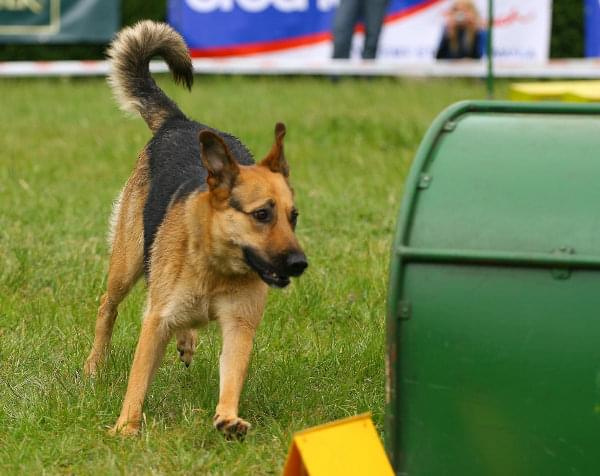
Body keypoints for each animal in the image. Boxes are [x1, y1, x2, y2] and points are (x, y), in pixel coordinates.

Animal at [83, 22, 310, 438]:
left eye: (293, 217)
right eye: (261, 215)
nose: (299, 264)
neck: (215, 266)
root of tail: (180, 122)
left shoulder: (239, 324)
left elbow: (232, 375)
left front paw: (228, 417)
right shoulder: (155, 323)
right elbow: (137, 381)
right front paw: (125, 429)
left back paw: (187, 340)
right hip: (128, 262)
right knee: (108, 306)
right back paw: (93, 367)